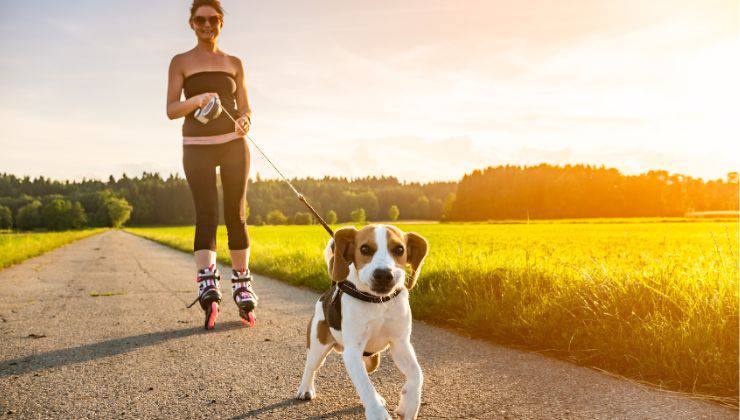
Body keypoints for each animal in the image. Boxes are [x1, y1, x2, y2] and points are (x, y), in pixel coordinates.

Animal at [296, 225, 428, 420]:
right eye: (365, 249)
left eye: (399, 250)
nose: (383, 274)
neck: (378, 302)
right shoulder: (352, 351)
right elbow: (365, 386)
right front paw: (377, 413)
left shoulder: (401, 343)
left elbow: (417, 374)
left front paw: (409, 405)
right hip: (318, 346)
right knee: (310, 367)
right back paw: (305, 388)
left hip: (372, 361)